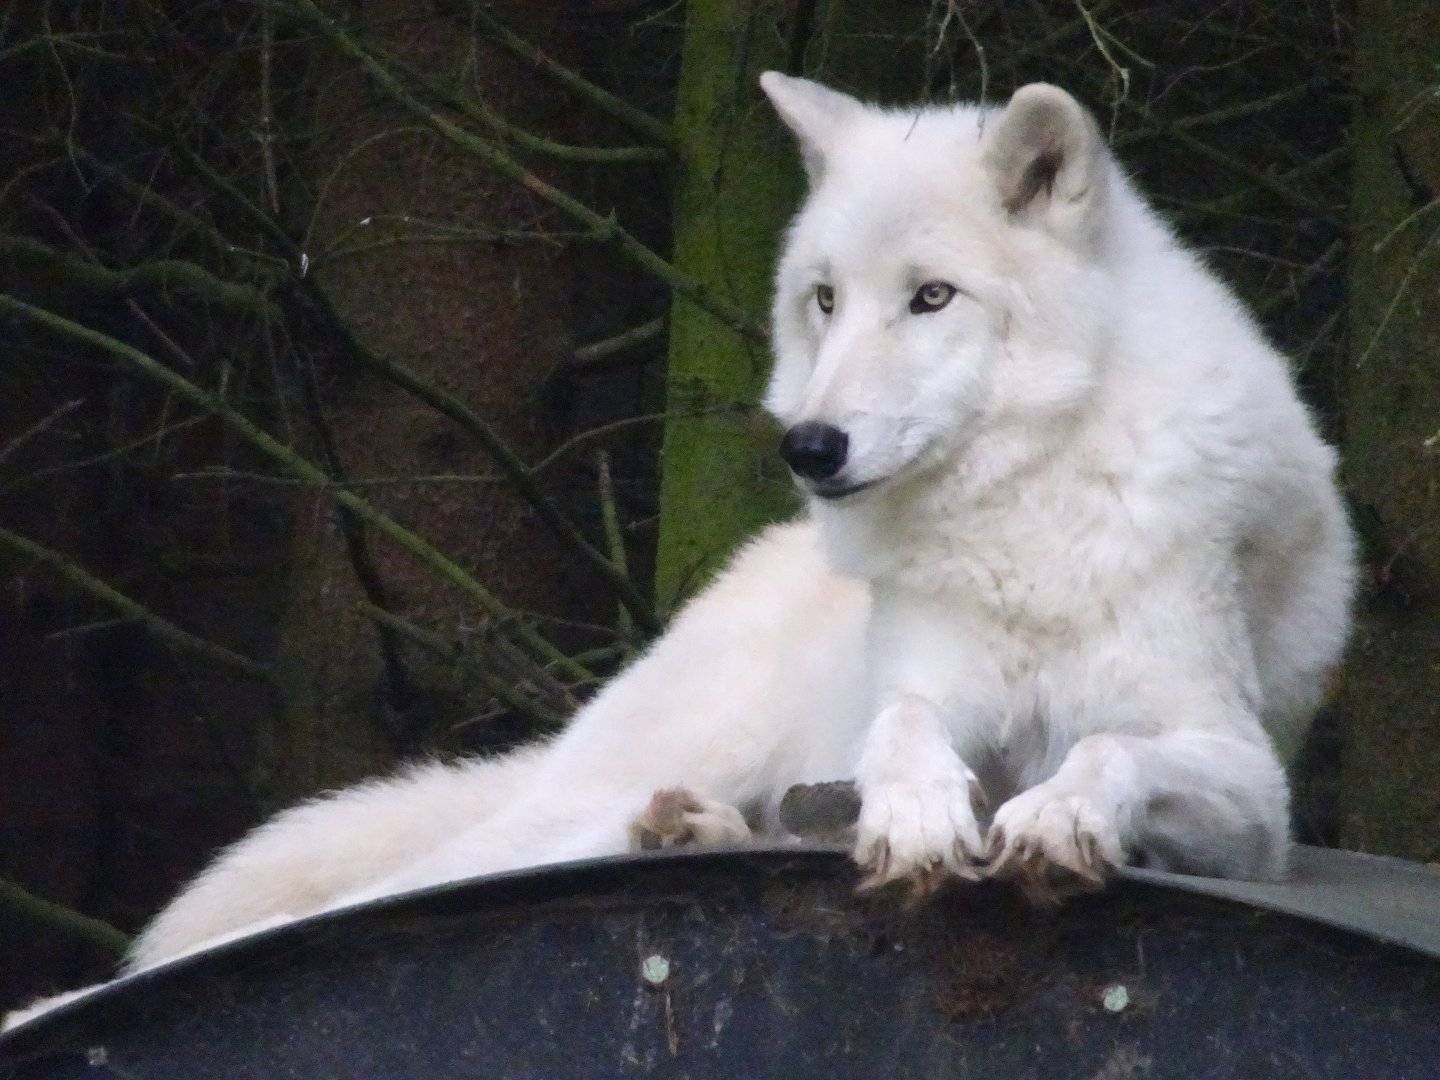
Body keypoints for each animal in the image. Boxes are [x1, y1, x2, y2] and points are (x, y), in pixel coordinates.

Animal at [4, 74, 1353, 1029]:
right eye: (824, 299)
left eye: (932, 298)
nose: (810, 444)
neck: (1020, 504)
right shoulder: (926, 688)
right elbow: (906, 729)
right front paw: (919, 813)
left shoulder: (1251, 790)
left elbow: (1111, 750)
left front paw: (1056, 815)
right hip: (584, 797)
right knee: (364, 899)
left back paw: (695, 834)